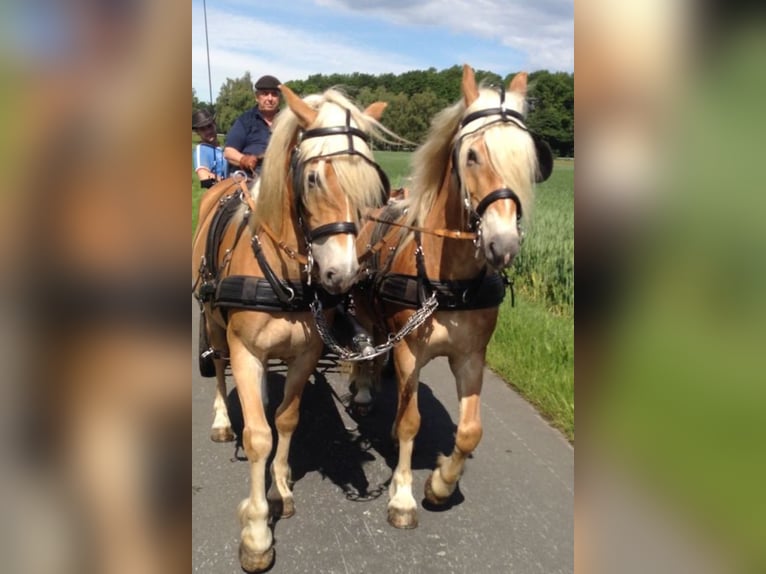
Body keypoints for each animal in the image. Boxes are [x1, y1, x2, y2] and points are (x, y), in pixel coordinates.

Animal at [192, 85, 400, 574]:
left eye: (371, 184)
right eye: (313, 179)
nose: (342, 274)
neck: (283, 271)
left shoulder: (305, 356)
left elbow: (286, 421)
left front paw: (282, 487)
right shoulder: (246, 350)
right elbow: (257, 436)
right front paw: (255, 532)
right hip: (212, 320)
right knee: (220, 365)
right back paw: (220, 420)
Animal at [346, 64, 552, 532]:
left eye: (528, 159)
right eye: (472, 155)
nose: (502, 244)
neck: (449, 280)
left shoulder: (471, 355)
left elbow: (470, 430)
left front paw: (440, 484)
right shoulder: (408, 349)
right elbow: (410, 421)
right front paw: (403, 497)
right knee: (366, 346)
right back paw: (363, 390)